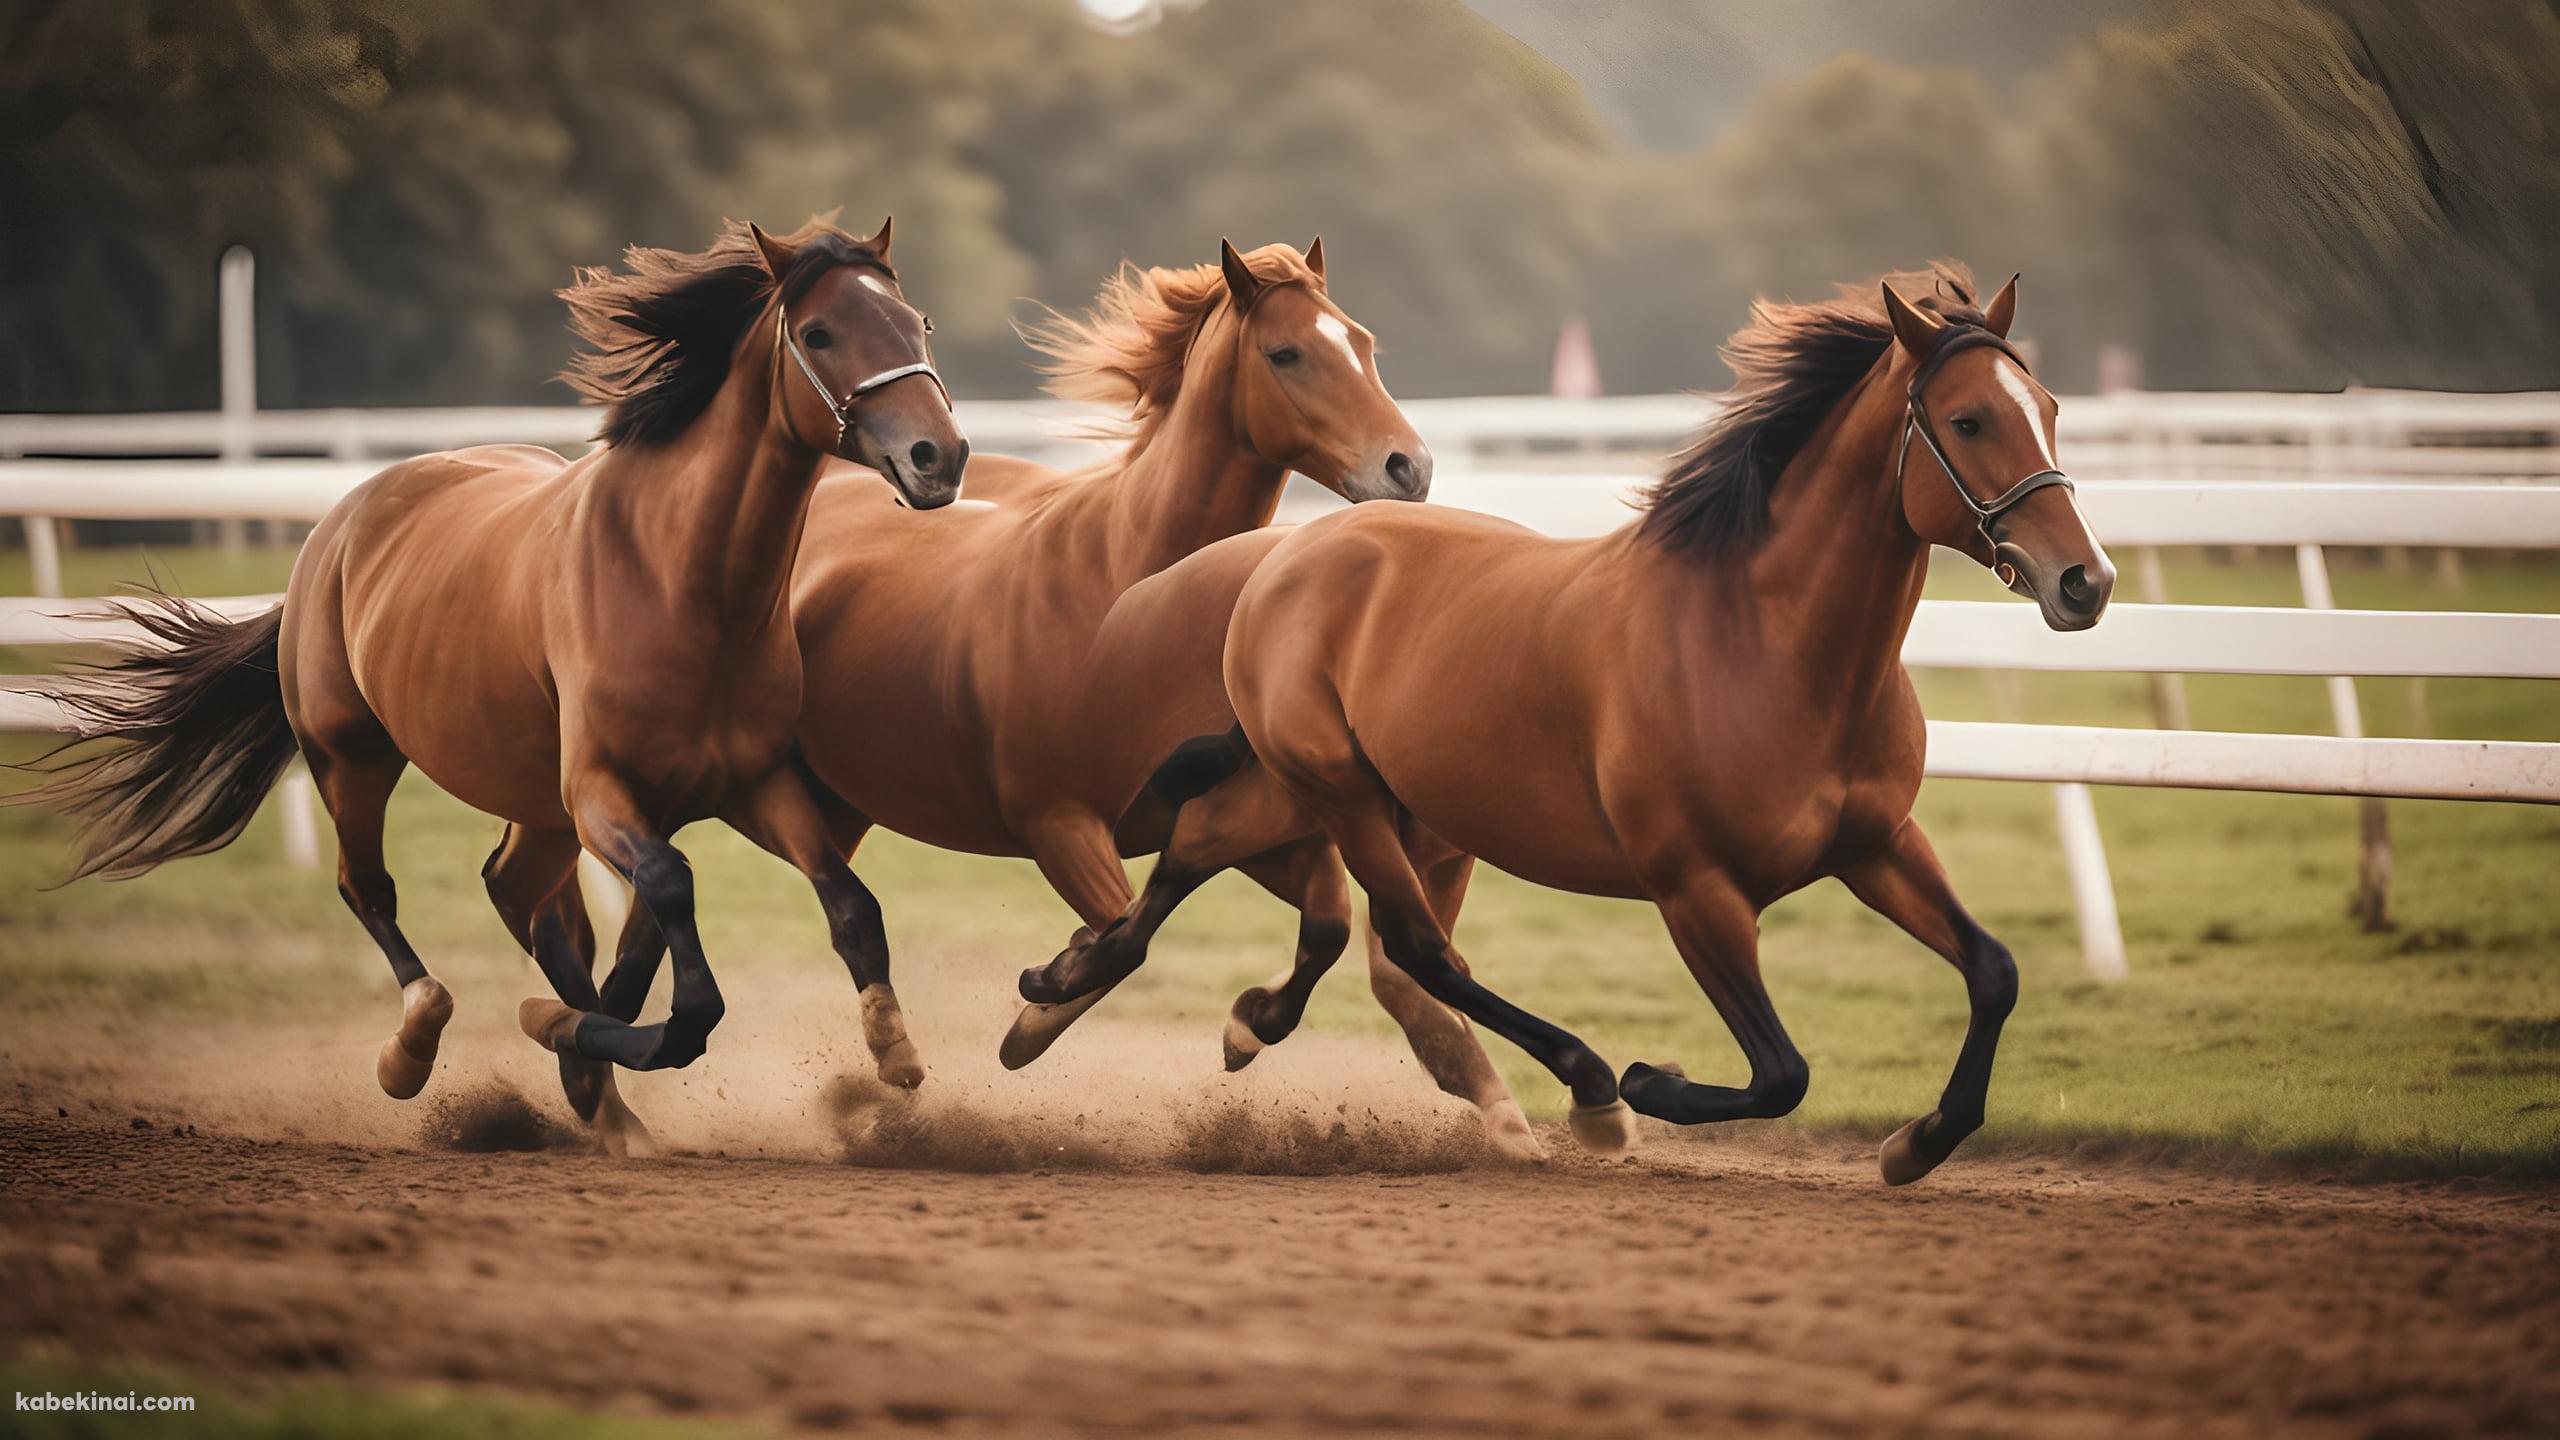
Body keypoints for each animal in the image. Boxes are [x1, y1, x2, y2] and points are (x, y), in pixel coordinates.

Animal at [17, 215, 967, 1142]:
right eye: (818, 332)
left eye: (917, 323)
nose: (941, 457)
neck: (680, 577)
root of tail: (340, 524)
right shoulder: (599, 793)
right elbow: (682, 956)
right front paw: (576, 1038)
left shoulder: (750, 782)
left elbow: (847, 904)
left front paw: (894, 1055)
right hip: (351, 756)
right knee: (372, 890)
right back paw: (416, 1048)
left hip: (529, 801)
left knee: (522, 897)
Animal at [532, 240, 1525, 1147]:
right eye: (1287, 354)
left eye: (1362, 342)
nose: (1407, 469)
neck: (1129, 596)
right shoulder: (1059, 826)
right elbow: (1123, 937)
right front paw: (1034, 1014)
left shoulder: (1256, 823)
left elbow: (1321, 927)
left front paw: (1248, 1027)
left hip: (820, 806)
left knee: (660, 924)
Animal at [1018, 266, 2119, 1178]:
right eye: (1969, 420)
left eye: (2049, 408)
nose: (2086, 581)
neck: (1768, 648)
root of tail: (1285, 559)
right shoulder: (1696, 890)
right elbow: (1781, 1072)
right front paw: (1645, 1084)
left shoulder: (1878, 844)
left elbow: (1994, 971)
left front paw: (1919, 1142)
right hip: (1345, 794)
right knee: (1416, 948)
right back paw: (1586, 1086)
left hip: (1326, 793)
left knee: (1205, 853)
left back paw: (1104, 992)